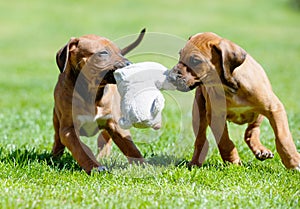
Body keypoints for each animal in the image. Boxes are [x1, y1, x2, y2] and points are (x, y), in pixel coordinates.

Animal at [53, 28, 146, 174]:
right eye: (103, 53)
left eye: (120, 52)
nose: (130, 65)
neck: (93, 93)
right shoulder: (68, 130)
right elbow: (81, 150)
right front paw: (94, 166)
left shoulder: (114, 123)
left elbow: (131, 147)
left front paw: (145, 166)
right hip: (57, 119)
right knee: (58, 138)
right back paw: (54, 156)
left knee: (105, 139)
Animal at [170, 32, 300, 170]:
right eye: (180, 54)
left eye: (196, 60)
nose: (170, 76)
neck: (229, 86)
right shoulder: (216, 116)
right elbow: (225, 142)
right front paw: (233, 162)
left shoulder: (274, 108)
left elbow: (283, 137)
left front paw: (293, 162)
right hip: (199, 113)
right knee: (201, 140)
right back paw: (195, 163)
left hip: (258, 114)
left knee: (250, 132)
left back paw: (261, 150)